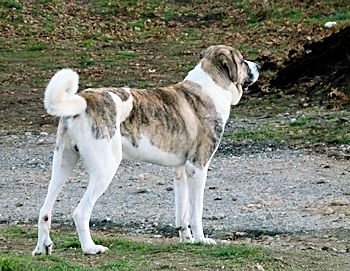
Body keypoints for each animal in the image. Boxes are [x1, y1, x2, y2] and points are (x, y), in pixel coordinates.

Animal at [31, 45, 258, 256]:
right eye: (241, 60)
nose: (259, 66)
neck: (210, 87)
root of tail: (84, 99)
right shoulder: (197, 167)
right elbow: (195, 212)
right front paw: (201, 240)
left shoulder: (181, 171)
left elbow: (182, 211)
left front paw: (187, 239)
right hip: (105, 169)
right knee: (80, 212)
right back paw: (90, 248)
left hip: (62, 164)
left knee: (45, 211)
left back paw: (42, 248)